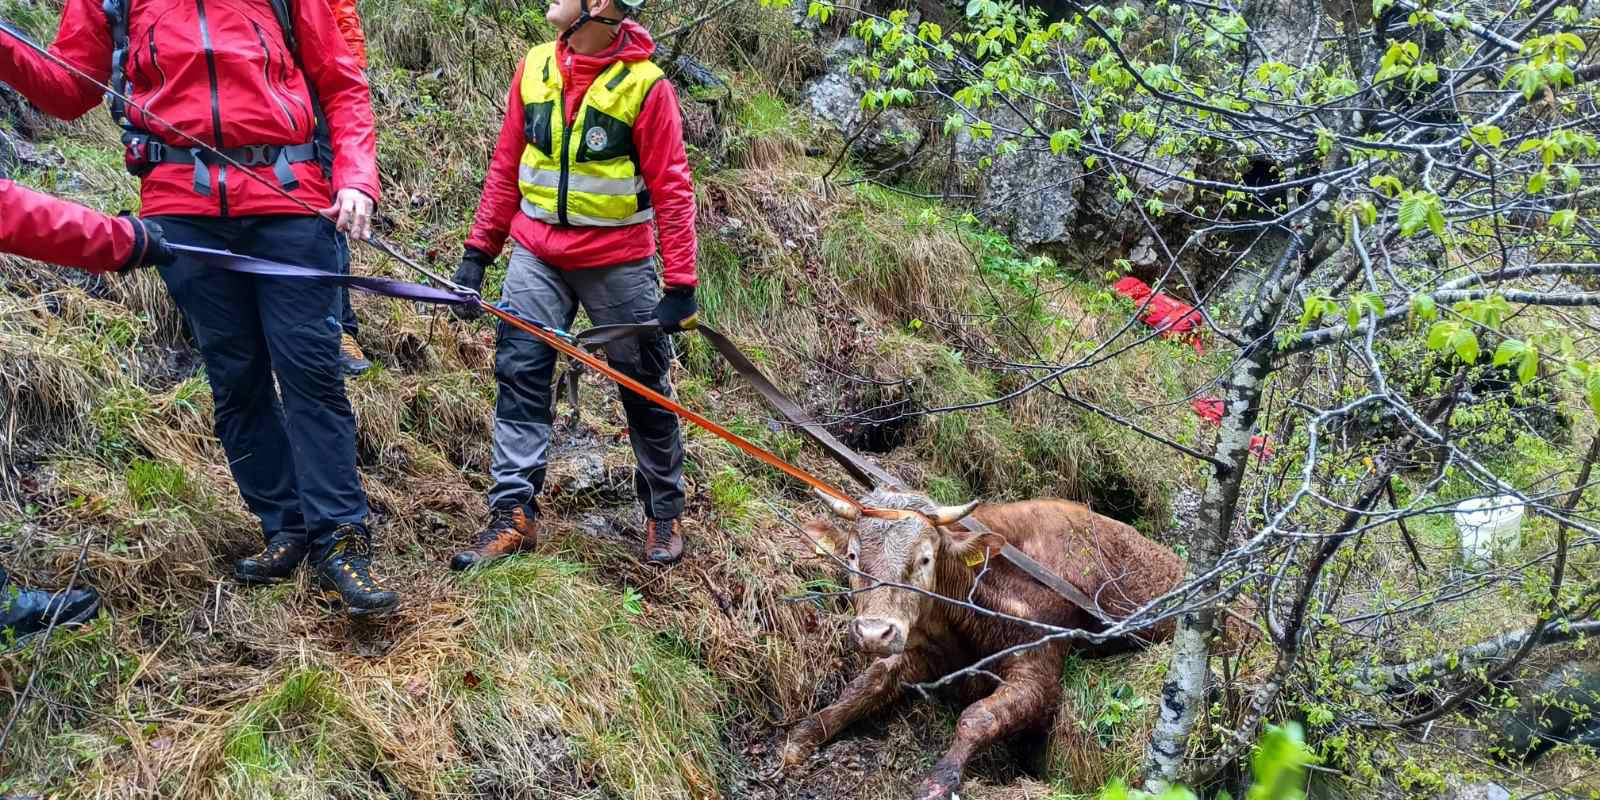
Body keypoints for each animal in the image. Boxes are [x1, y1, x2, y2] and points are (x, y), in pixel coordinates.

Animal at [780, 486, 1196, 800]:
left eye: (925, 559)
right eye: (852, 556)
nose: (873, 631)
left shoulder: (1039, 672)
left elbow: (977, 717)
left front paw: (940, 780)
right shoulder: (926, 656)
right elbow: (867, 683)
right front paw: (806, 734)